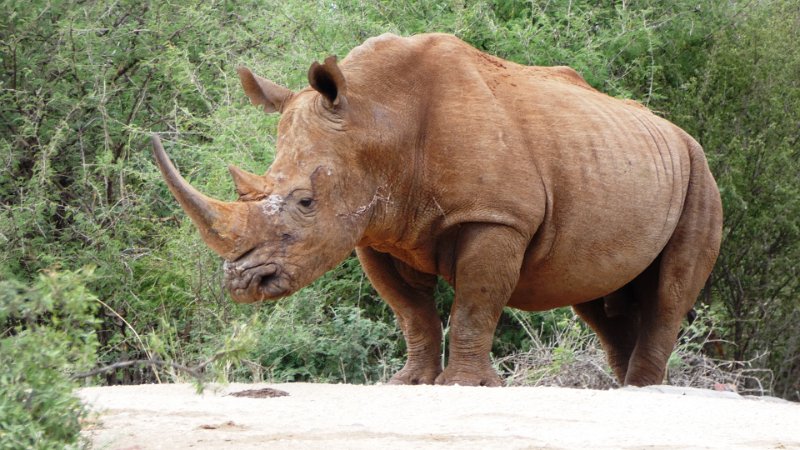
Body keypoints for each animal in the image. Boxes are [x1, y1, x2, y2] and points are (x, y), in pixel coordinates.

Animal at [152, 33, 722, 387]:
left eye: (306, 203)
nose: (242, 285)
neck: (378, 118)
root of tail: (676, 132)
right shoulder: (374, 230)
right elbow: (412, 313)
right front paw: (408, 381)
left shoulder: (495, 217)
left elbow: (474, 303)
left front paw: (466, 385)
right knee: (600, 298)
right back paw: (623, 388)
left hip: (700, 172)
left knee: (668, 292)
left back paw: (642, 391)